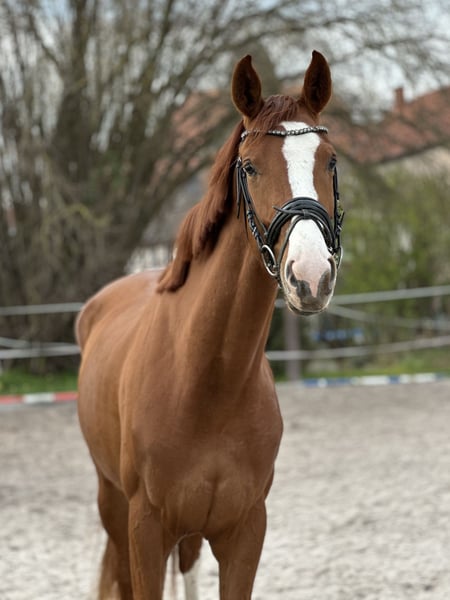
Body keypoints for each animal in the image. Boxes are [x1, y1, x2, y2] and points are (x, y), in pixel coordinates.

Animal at [76, 49, 344, 600]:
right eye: (250, 167)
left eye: (329, 161)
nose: (310, 276)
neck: (207, 379)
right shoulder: (144, 529)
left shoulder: (245, 531)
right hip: (112, 505)